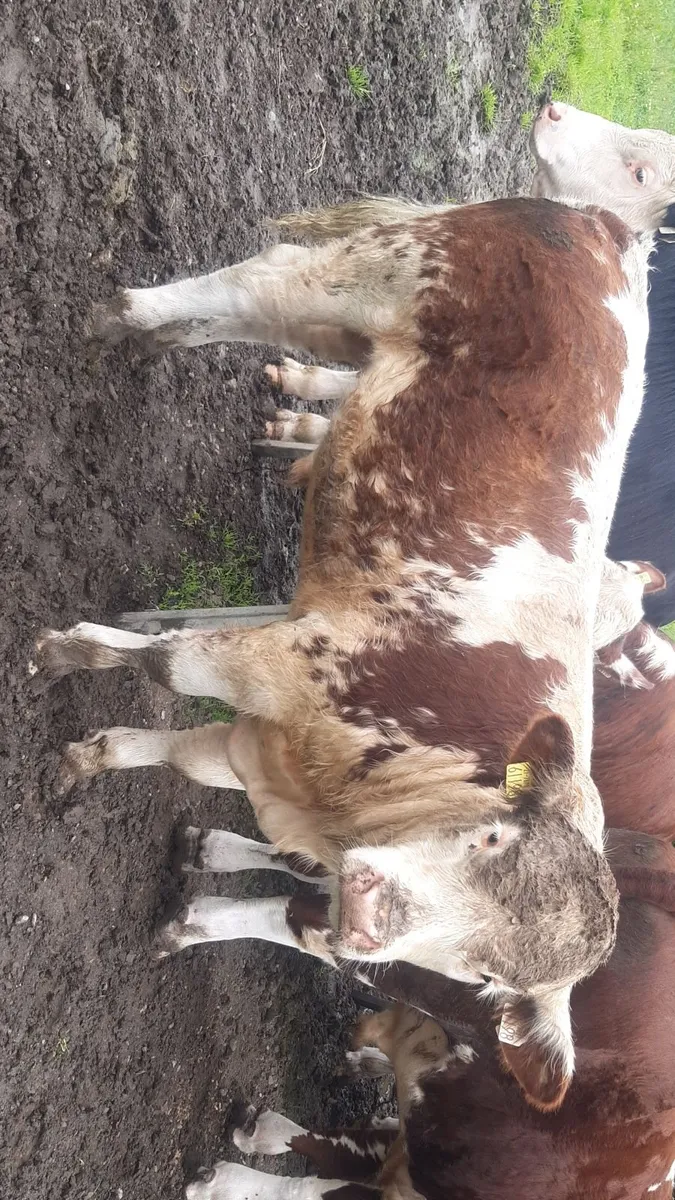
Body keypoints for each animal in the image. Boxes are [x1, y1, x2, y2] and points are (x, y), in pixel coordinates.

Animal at [33, 196, 651, 1107]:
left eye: (487, 976)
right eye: (490, 839)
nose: (364, 916)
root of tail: (604, 228)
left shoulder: (260, 740)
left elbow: (176, 754)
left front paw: (93, 757)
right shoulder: (282, 661)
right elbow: (163, 663)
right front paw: (65, 653)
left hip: (346, 330)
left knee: (249, 317)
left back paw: (159, 347)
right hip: (372, 270)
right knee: (252, 282)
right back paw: (123, 320)